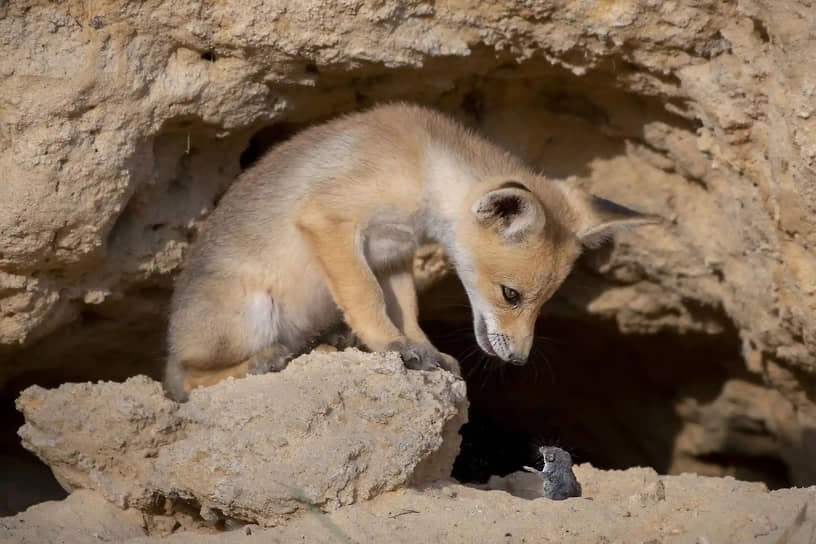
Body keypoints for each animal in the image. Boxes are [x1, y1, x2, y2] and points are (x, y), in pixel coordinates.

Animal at [163, 103, 660, 400]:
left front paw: (422, 349)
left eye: (544, 304)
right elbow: (366, 298)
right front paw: (390, 345)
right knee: (187, 381)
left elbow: (407, 310)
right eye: (511, 295)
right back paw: (262, 362)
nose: (518, 359)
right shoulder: (330, 221)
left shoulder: (393, 255)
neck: (423, 167)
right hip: (251, 313)